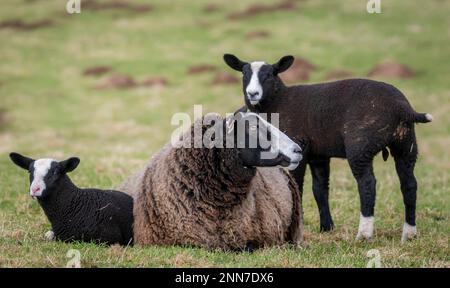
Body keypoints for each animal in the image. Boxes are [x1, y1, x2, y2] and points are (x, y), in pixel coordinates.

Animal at [223, 53, 434, 242]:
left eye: (269, 75)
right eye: (244, 74)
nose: (253, 94)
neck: (278, 101)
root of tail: (402, 108)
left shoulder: (299, 147)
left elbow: (297, 186)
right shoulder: (319, 155)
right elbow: (320, 189)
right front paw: (327, 227)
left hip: (360, 145)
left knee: (367, 184)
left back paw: (364, 234)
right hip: (406, 144)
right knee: (409, 184)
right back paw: (409, 234)